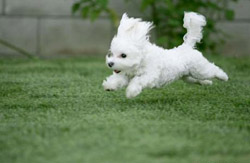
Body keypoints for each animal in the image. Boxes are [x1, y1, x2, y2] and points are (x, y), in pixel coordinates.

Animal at [101, 12, 229, 98]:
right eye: (111, 54)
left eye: (123, 55)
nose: (110, 63)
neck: (141, 61)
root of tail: (187, 46)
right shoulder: (126, 74)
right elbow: (118, 79)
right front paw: (109, 86)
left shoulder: (150, 75)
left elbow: (138, 81)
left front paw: (131, 92)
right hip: (188, 76)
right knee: (198, 80)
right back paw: (207, 83)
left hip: (199, 69)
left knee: (213, 70)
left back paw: (223, 77)